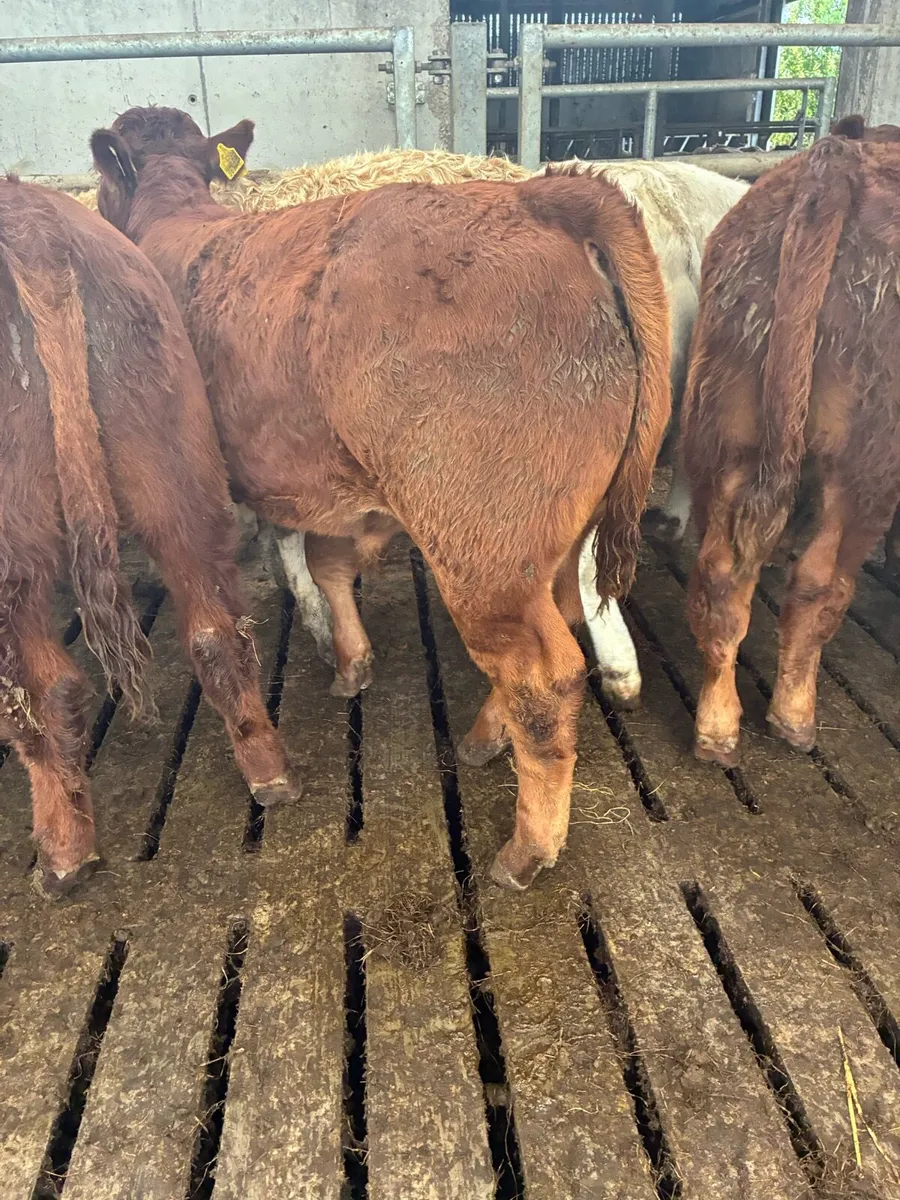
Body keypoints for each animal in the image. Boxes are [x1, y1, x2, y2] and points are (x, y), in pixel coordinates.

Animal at [0, 177, 298, 898]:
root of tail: (30, 223)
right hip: (173, 472)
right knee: (217, 633)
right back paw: (269, 773)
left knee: (38, 692)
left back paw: (64, 852)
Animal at [90, 106, 671, 889]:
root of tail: (535, 195)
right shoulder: (329, 484)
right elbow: (328, 566)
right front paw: (351, 660)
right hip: (547, 535)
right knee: (561, 623)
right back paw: (485, 739)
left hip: (479, 545)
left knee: (542, 675)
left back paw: (527, 848)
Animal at [680, 127, 900, 767]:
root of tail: (837, 159)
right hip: (863, 463)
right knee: (819, 585)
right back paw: (794, 716)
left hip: (727, 436)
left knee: (722, 577)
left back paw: (717, 729)